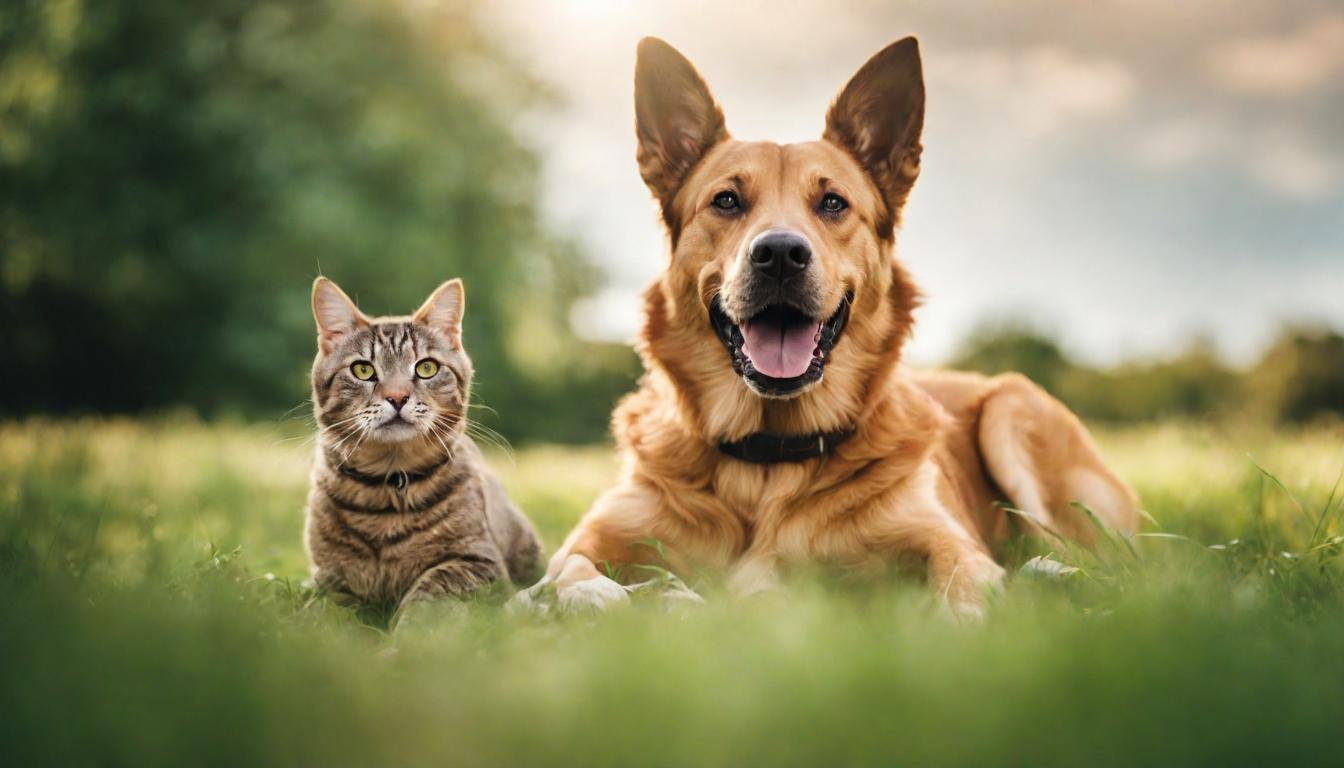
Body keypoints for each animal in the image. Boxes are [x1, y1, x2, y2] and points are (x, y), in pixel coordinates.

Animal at [303, 278, 540, 613]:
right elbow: (324, 611)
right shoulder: (330, 577)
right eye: (363, 370)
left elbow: (430, 591)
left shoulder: (479, 562)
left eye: (426, 368)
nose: (397, 397)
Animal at [529, 37, 1139, 618]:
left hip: (1013, 410)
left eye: (832, 203)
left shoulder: (951, 543)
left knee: (1101, 559)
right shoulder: (587, 540)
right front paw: (605, 597)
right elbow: (568, 572)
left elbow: (962, 586)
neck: (767, 460)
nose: (779, 254)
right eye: (726, 200)